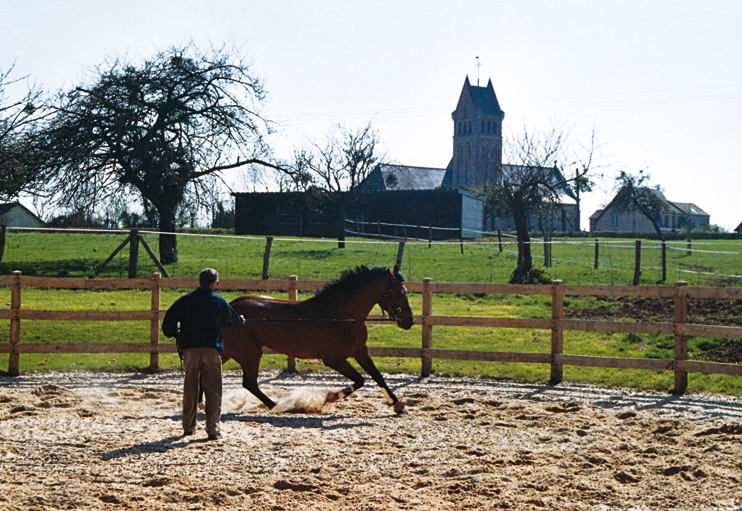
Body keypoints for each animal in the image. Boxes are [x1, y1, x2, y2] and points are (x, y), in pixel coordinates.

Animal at [221, 266, 418, 414]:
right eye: (399, 292)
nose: (409, 321)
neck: (342, 315)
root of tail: (230, 306)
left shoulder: (360, 351)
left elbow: (377, 376)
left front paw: (397, 404)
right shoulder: (333, 359)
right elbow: (360, 380)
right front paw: (330, 397)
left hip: (230, 352)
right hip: (250, 354)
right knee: (250, 383)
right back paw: (277, 405)